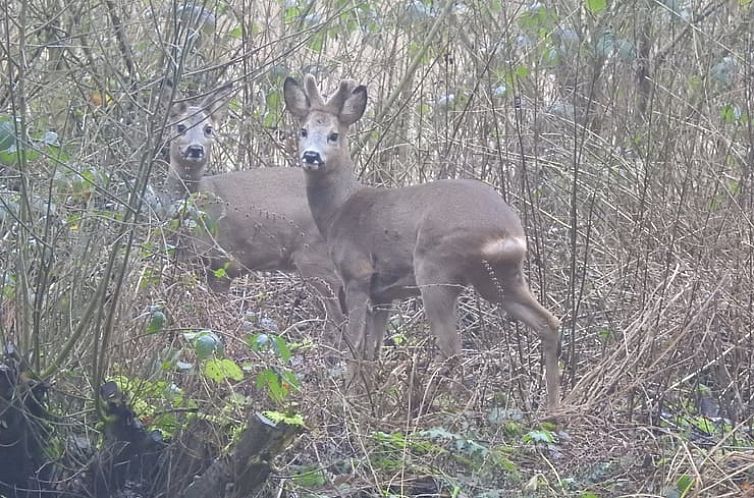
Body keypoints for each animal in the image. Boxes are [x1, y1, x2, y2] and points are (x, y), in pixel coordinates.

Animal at [282, 74, 560, 408]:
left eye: (334, 135)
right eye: (303, 130)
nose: (311, 156)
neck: (340, 211)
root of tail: (509, 232)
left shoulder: (357, 275)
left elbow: (353, 342)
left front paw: (347, 396)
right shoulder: (383, 295)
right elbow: (373, 350)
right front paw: (367, 396)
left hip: (436, 269)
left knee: (452, 348)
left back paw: (439, 403)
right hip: (499, 279)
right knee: (548, 322)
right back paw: (554, 408)